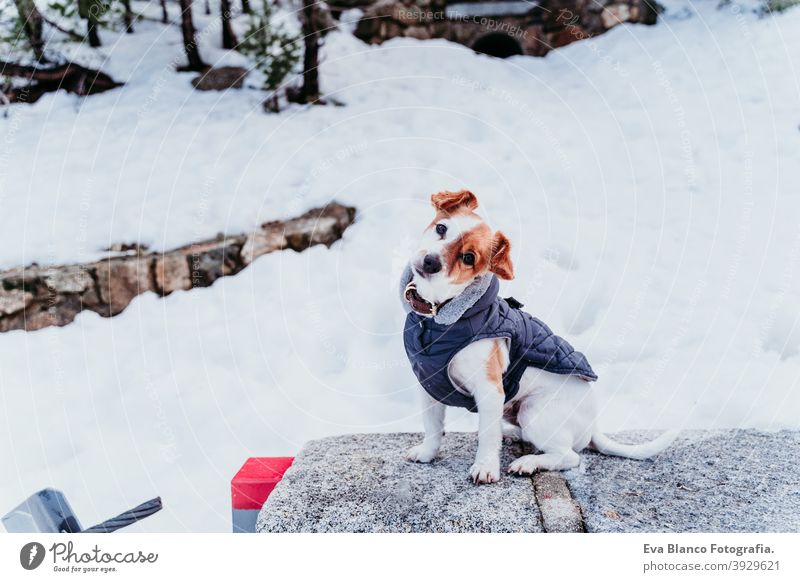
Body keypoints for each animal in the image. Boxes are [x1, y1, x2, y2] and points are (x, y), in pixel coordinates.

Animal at [400, 190, 676, 484]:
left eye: (468, 258)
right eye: (441, 228)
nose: (430, 262)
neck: (437, 316)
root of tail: (593, 425)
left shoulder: (490, 391)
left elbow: (487, 437)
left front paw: (485, 467)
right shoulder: (429, 386)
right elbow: (432, 426)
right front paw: (427, 453)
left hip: (535, 411)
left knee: (569, 456)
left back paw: (528, 462)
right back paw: (511, 436)